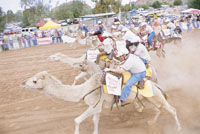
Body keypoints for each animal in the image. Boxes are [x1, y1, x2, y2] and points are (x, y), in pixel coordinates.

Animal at [21, 70, 182, 133]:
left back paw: (179, 128)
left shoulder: (94, 105)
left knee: (172, 110)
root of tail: (156, 85)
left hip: (156, 96)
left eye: (34, 81)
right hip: (148, 99)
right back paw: (151, 123)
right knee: (158, 109)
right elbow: (95, 121)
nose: (22, 83)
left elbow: (77, 120)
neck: (84, 89)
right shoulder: (97, 108)